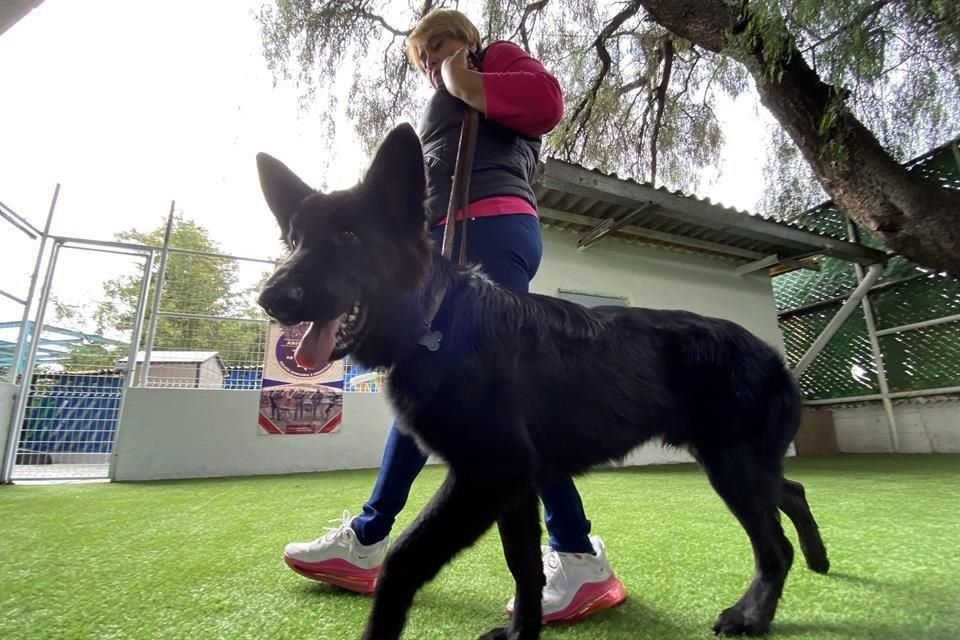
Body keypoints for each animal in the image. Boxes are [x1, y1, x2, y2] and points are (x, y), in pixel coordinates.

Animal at [256, 125, 832, 640]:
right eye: (294, 240)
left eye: (348, 236)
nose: (270, 298)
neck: (437, 319)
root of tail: (772, 353)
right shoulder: (513, 490)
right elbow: (525, 567)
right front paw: (521, 633)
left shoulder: (488, 475)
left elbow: (402, 561)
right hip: (736, 463)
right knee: (792, 490)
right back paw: (819, 559)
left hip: (730, 465)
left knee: (773, 546)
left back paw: (752, 616)